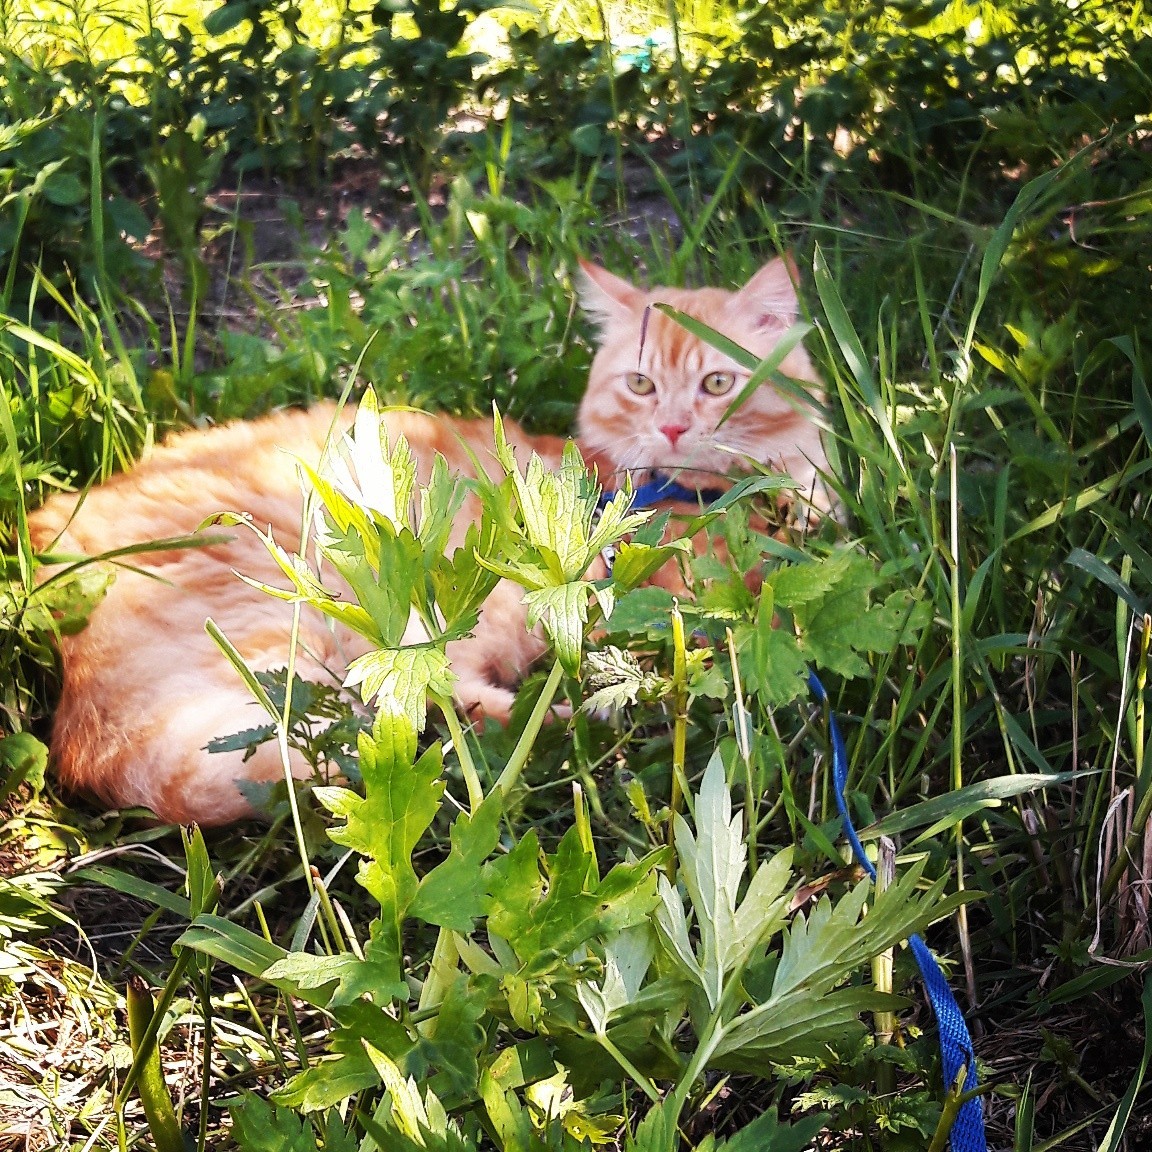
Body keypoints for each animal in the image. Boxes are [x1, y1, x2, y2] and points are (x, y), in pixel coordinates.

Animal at [29, 256, 829, 824]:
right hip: (322, 620)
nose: (671, 427)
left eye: (718, 383)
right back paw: (601, 721)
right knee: (412, 717)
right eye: (641, 384)